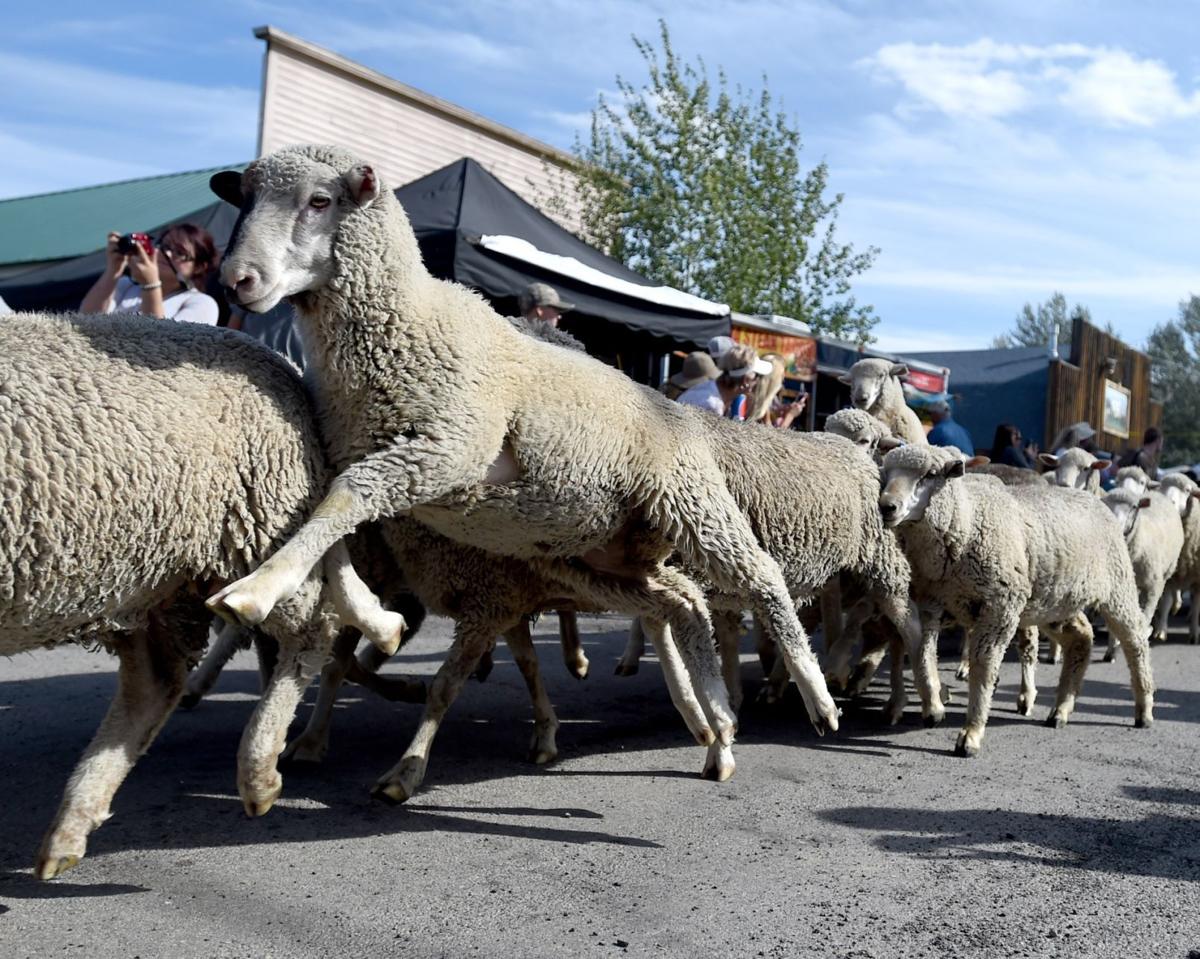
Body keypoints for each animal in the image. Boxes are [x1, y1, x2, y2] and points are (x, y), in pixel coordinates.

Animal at [1, 311, 408, 879]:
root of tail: (271, 359)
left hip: (254, 518)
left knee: (310, 630)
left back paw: (259, 772)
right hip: (147, 577)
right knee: (156, 682)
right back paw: (69, 829)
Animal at [205, 144, 840, 789]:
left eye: (319, 200)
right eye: (246, 200)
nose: (236, 281)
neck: (410, 323)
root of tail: (672, 407)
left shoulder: (447, 449)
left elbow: (348, 496)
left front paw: (252, 593)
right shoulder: (375, 460)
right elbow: (332, 520)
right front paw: (366, 617)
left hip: (692, 504)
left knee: (761, 576)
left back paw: (813, 696)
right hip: (600, 555)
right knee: (684, 602)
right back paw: (715, 723)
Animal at [878, 444, 1154, 756]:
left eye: (931, 474)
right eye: (885, 472)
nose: (887, 506)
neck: (967, 520)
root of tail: (1094, 498)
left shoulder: (1001, 606)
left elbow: (984, 666)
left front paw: (971, 733)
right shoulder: (931, 603)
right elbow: (922, 652)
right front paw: (933, 707)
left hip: (1117, 585)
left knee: (1135, 639)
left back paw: (1144, 709)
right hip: (1055, 600)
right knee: (1081, 638)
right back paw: (1061, 710)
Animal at [1101, 488, 1184, 662]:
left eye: (1134, 507)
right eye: (1106, 505)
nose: (1115, 526)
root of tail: (1156, 492)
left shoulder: (1153, 588)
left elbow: (1146, 617)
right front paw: (1111, 650)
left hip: (1167, 571)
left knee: (1165, 599)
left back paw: (1160, 630)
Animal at [1152, 473, 1200, 644]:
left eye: (1187, 490)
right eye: (1161, 486)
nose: (1169, 500)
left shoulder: (1198, 578)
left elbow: (1196, 605)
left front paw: (1194, 634)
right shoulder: (1170, 575)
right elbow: (1165, 602)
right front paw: (1161, 631)